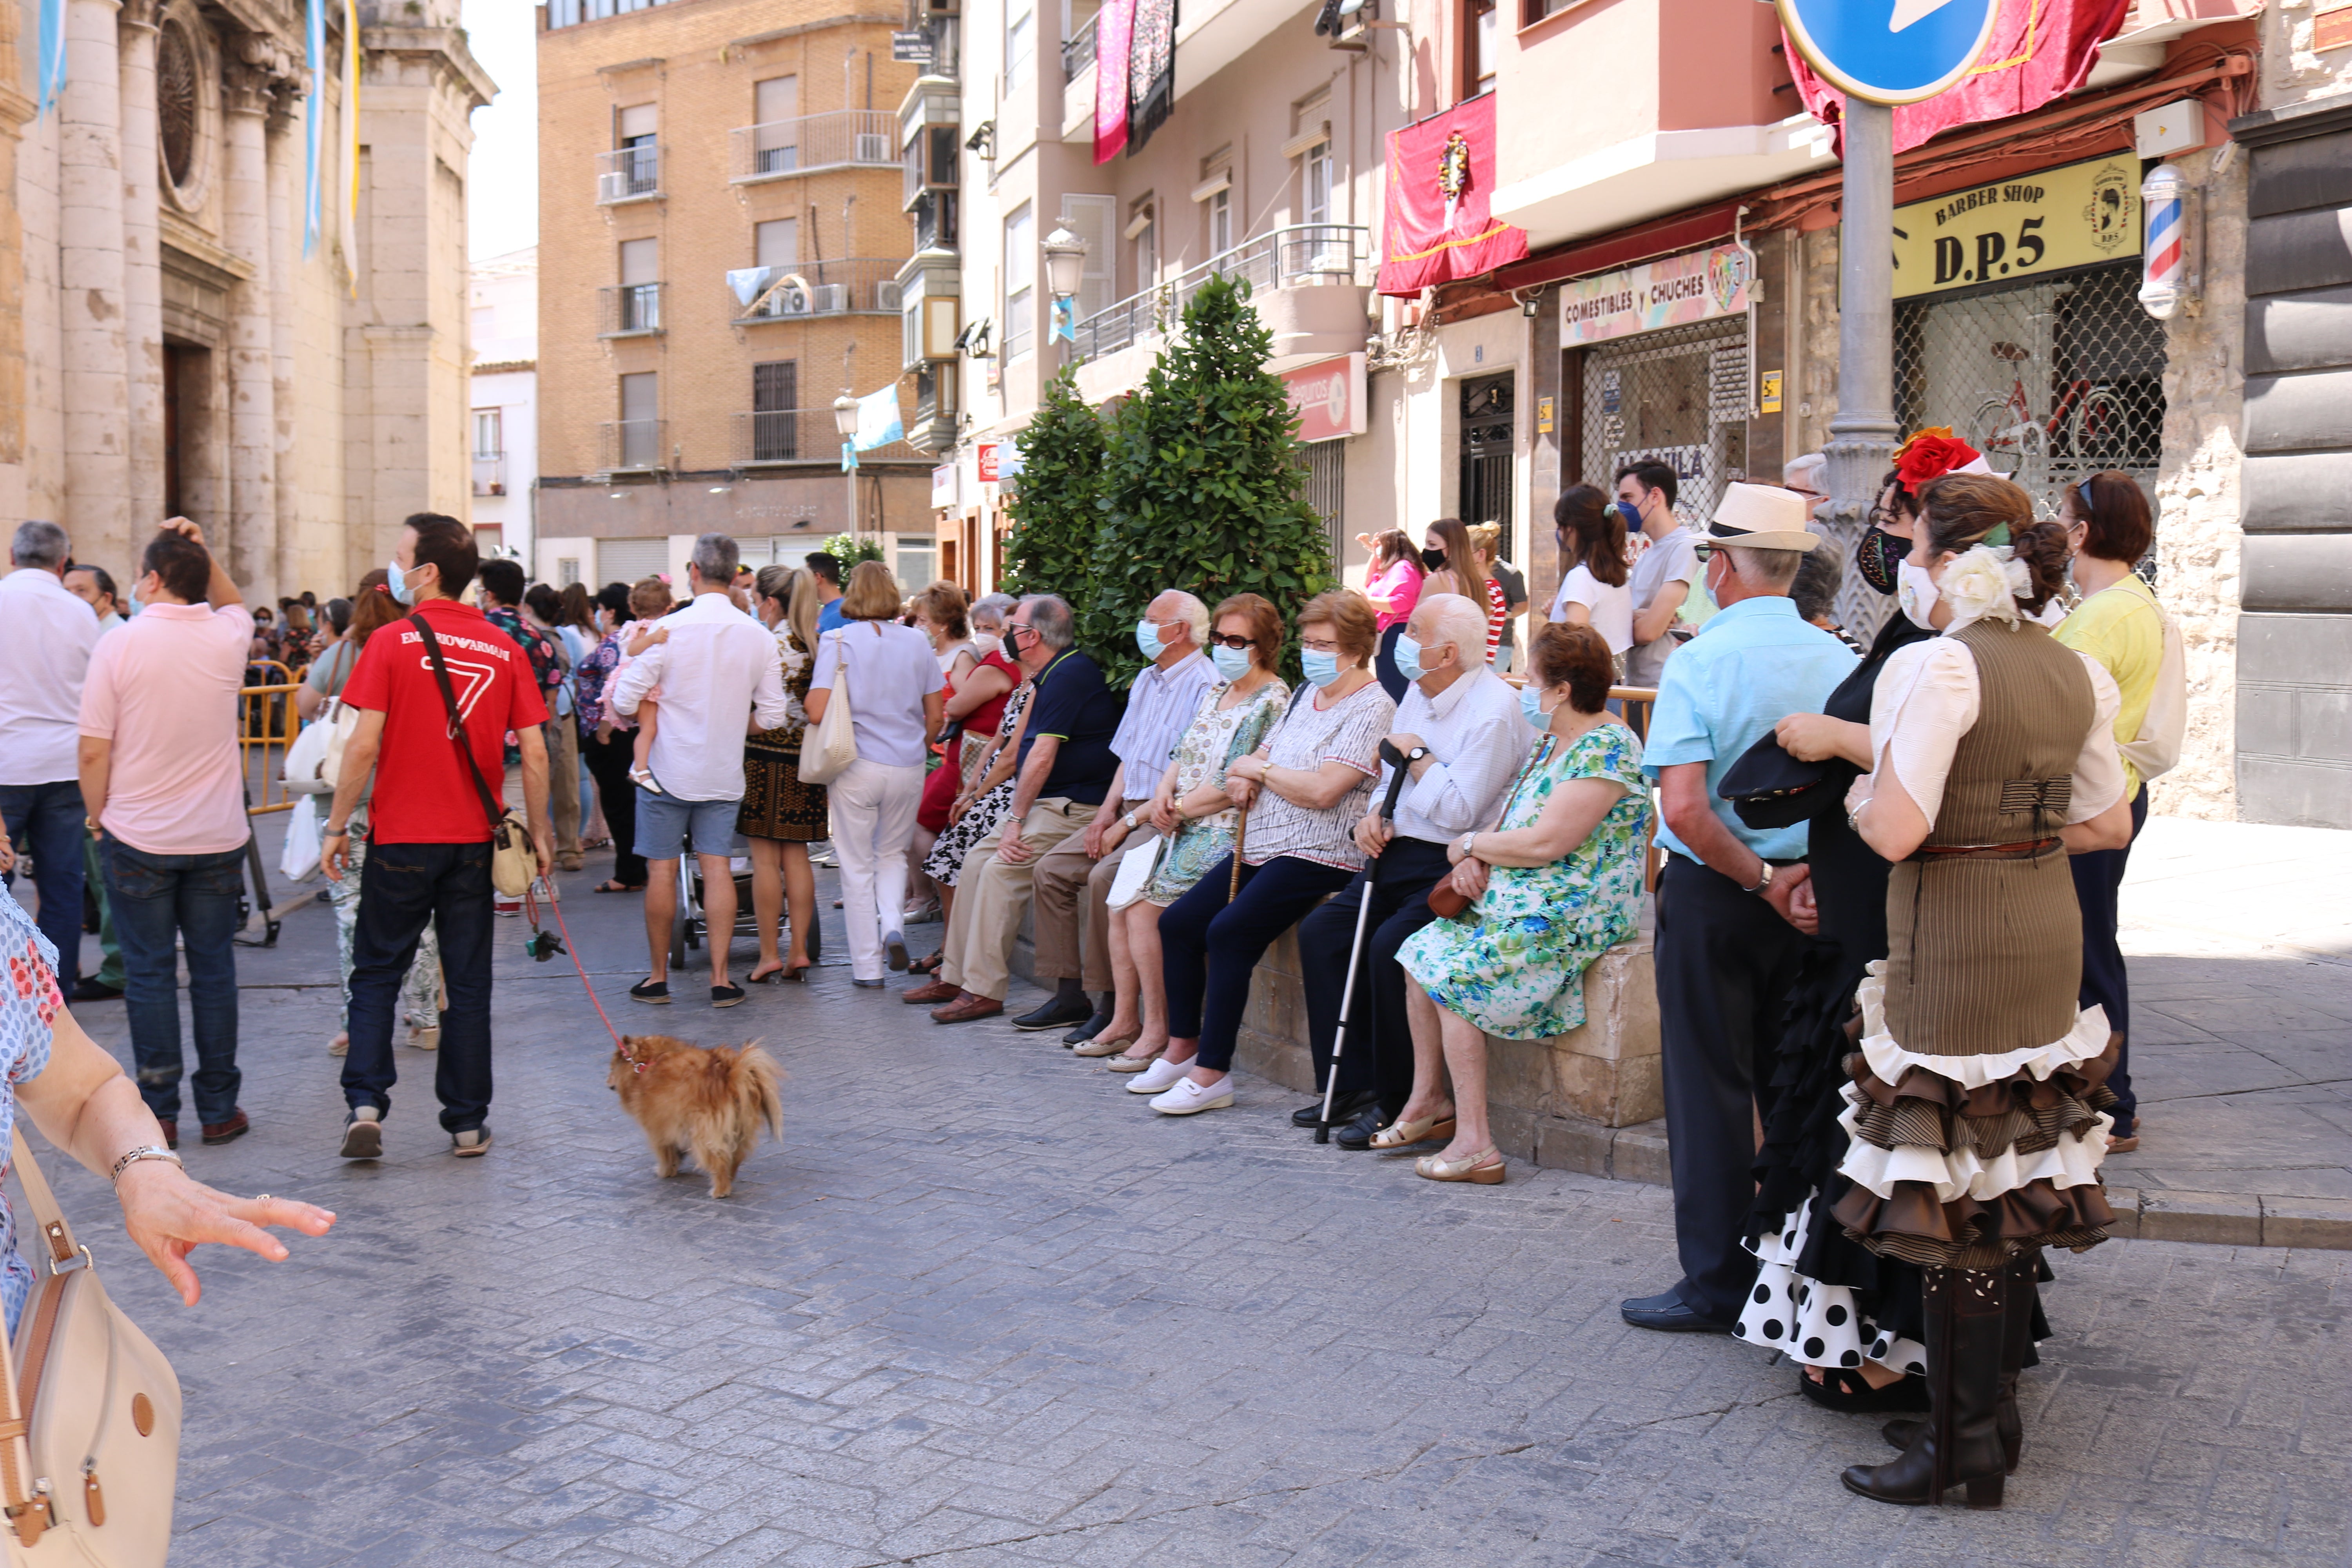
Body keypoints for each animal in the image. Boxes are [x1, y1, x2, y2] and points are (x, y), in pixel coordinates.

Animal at [607, 1034, 790, 1194]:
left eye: (612, 1069)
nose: (608, 1084)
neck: (648, 1063)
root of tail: (729, 1073)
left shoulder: (658, 1126)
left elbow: (665, 1152)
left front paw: (665, 1171)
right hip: (741, 1127)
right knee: (735, 1157)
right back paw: (729, 1179)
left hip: (705, 1131)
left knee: (719, 1158)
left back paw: (720, 1190)